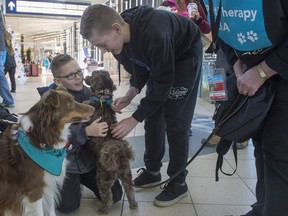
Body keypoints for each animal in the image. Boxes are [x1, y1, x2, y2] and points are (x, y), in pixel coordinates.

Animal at [84, 70, 137, 214]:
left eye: (92, 74)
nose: (85, 77)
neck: (102, 96)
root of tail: (120, 153)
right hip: (126, 173)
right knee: (130, 189)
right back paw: (133, 204)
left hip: (103, 178)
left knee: (108, 196)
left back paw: (103, 209)